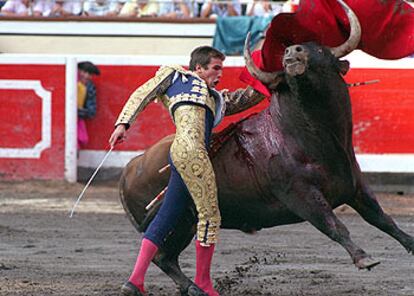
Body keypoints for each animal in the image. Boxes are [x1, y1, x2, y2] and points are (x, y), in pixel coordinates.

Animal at [118, 1, 412, 294]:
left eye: (320, 49)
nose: (291, 52)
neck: (317, 139)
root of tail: (131, 166)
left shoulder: (356, 187)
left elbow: (383, 219)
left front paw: (410, 244)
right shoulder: (301, 195)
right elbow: (334, 224)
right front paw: (364, 258)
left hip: (185, 223)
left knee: (166, 255)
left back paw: (191, 287)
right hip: (177, 219)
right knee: (160, 252)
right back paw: (169, 286)